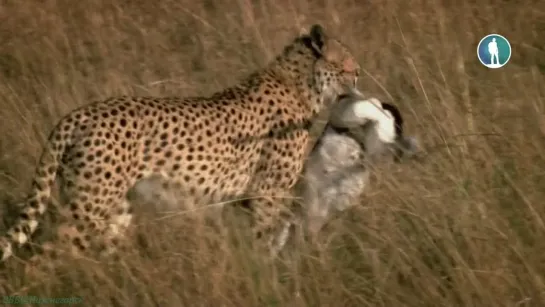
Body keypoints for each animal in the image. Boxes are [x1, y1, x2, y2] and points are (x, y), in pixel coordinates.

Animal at [1, 23, 362, 262]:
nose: (359, 73)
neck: (302, 86)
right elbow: (264, 240)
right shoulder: (266, 193)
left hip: (115, 209)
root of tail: (77, 113)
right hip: (88, 206)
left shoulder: (247, 198)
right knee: (46, 258)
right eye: (347, 62)